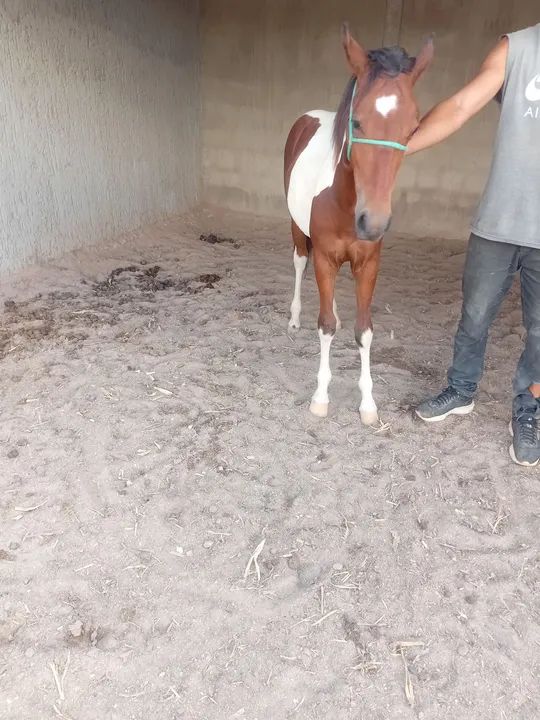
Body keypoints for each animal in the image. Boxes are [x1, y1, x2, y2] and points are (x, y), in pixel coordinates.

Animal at [283, 24, 433, 424]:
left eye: (413, 127)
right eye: (357, 120)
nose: (373, 222)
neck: (345, 201)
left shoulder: (368, 264)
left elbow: (363, 331)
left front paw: (368, 404)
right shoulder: (324, 257)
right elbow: (325, 327)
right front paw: (321, 397)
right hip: (297, 230)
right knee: (299, 263)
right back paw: (294, 318)